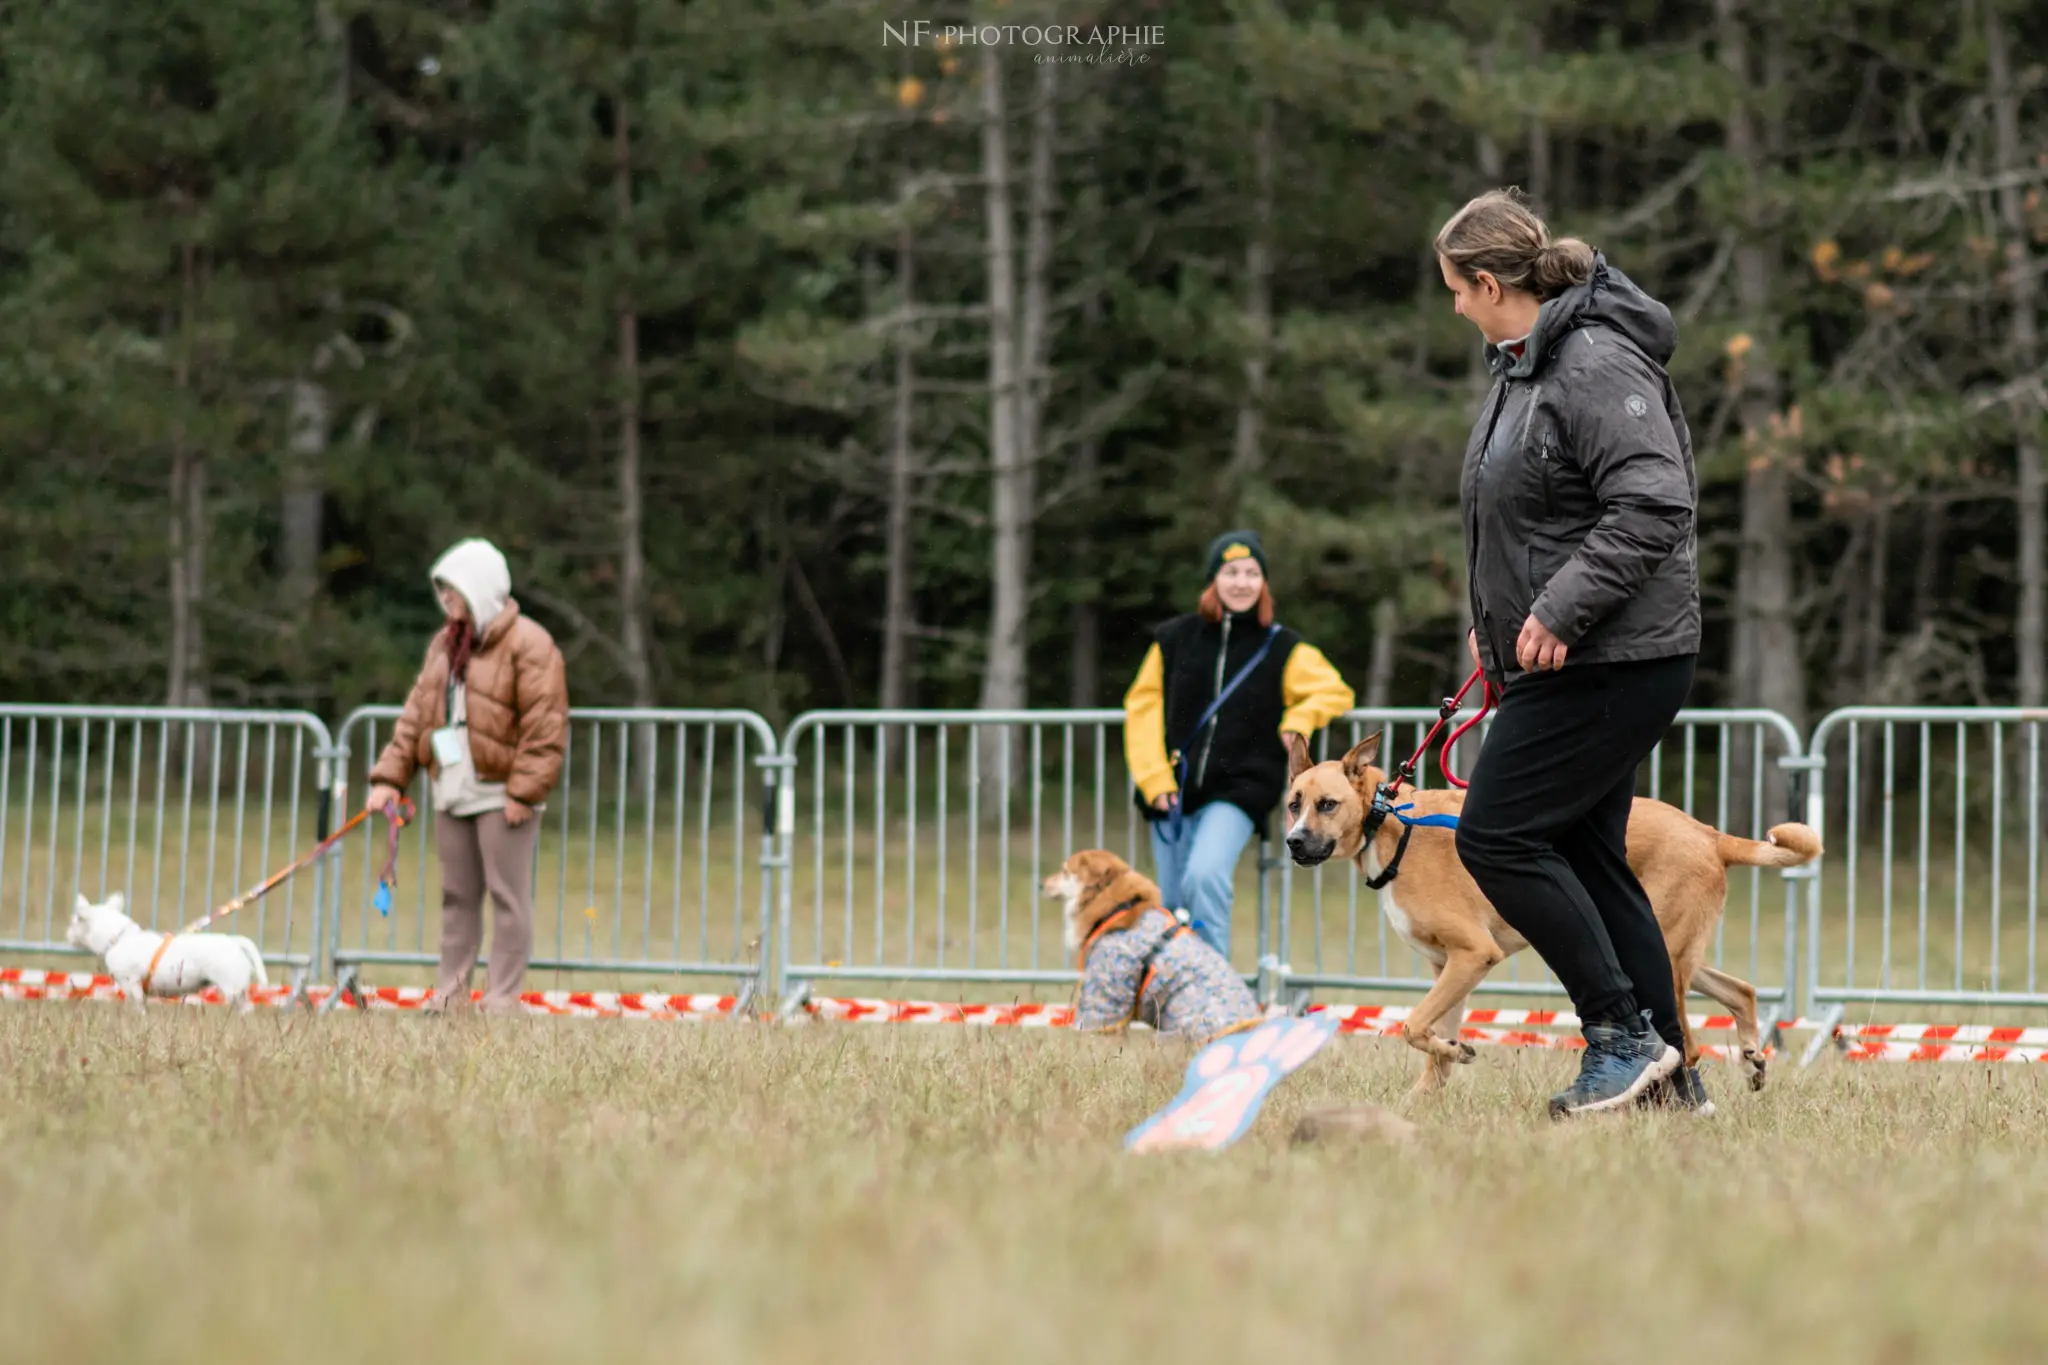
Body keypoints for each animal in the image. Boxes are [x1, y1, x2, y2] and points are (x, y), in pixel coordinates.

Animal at [65, 896, 268, 1015]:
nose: (66, 934)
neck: (119, 938)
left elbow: (138, 1006)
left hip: (231, 986)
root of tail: (235, 942)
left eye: (74, 921)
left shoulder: (131, 983)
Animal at [1277, 732, 1826, 1096]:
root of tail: (1708, 833)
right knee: (1741, 990)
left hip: (1663, 956)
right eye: (1293, 803)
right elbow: (1432, 1044)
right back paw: (1753, 1059)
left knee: (1688, 1045)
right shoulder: (1446, 966)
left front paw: (1454, 1055)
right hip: (1679, 951)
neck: (1387, 822)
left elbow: (1412, 1026)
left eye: (1328, 804)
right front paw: (1425, 1097)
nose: (1294, 843)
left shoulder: (1473, 954)